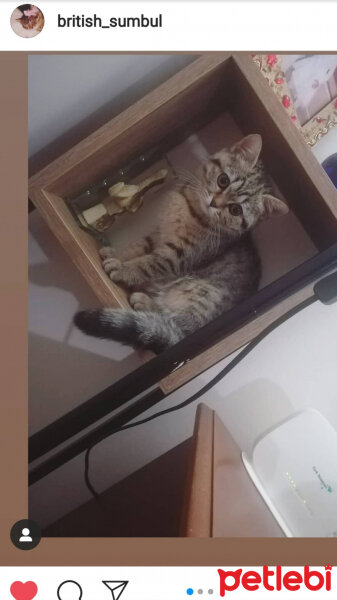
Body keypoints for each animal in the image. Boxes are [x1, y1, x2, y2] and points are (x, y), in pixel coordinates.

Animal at [75, 134, 288, 354]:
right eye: (223, 180)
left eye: (235, 210)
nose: (214, 203)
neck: (192, 210)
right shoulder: (158, 234)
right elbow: (139, 246)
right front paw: (117, 254)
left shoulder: (178, 256)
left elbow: (148, 263)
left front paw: (123, 268)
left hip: (202, 296)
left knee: (175, 323)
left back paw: (145, 302)